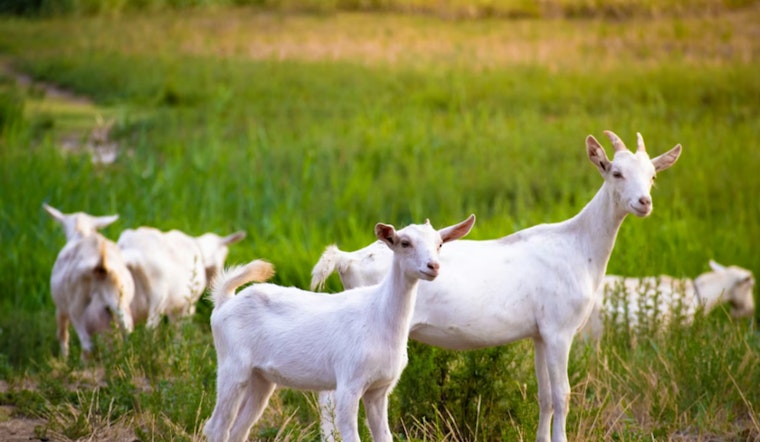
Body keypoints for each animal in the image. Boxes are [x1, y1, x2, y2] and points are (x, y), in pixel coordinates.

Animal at [44, 204, 134, 359]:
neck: (81, 231)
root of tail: (101, 265)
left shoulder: (61, 307)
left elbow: (62, 333)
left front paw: (63, 359)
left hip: (77, 308)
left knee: (87, 345)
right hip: (120, 305)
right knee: (127, 337)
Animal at [203, 215, 475, 442]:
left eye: (439, 244)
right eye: (404, 243)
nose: (433, 266)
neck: (379, 318)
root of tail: (225, 300)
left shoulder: (379, 390)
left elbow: (384, 436)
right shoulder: (348, 384)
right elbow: (351, 436)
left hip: (260, 378)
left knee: (239, 429)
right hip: (233, 366)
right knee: (216, 427)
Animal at [312, 131, 681, 442]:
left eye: (652, 175)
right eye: (615, 172)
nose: (643, 202)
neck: (579, 246)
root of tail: (347, 259)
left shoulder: (540, 334)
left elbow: (545, 396)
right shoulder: (560, 330)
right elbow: (563, 395)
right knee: (330, 398)